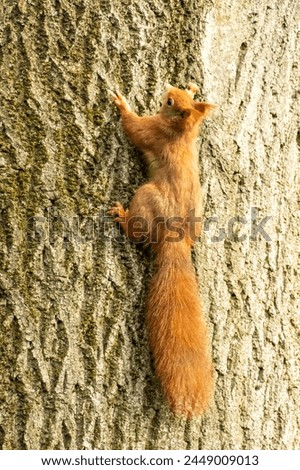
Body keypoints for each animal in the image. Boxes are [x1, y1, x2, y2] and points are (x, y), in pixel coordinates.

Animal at [109, 82, 214, 416]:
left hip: (147, 197)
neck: (180, 133)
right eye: (180, 93)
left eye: (170, 102)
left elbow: (134, 129)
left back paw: (122, 217)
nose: (168, 87)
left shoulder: (152, 132)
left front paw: (122, 104)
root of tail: (176, 238)